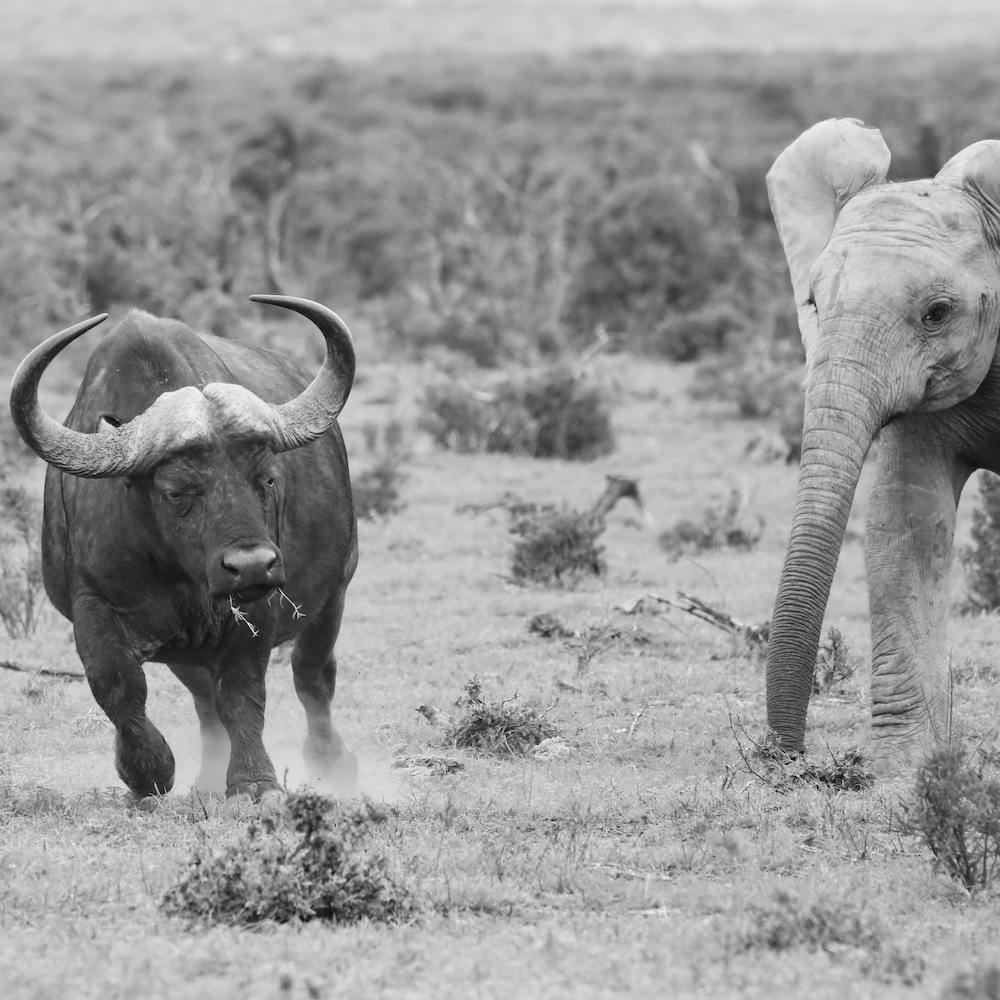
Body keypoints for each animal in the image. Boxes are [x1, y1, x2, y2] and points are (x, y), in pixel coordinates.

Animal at [9, 295, 358, 799]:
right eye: (176, 491)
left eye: (267, 479)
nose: (252, 565)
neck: (180, 573)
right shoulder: (91, 605)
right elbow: (118, 685)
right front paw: (148, 769)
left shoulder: (256, 611)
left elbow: (243, 693)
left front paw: (254, 781)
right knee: (203, 700)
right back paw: (207, 777)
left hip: (336, 591)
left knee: (312, 675)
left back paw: (331, 761)